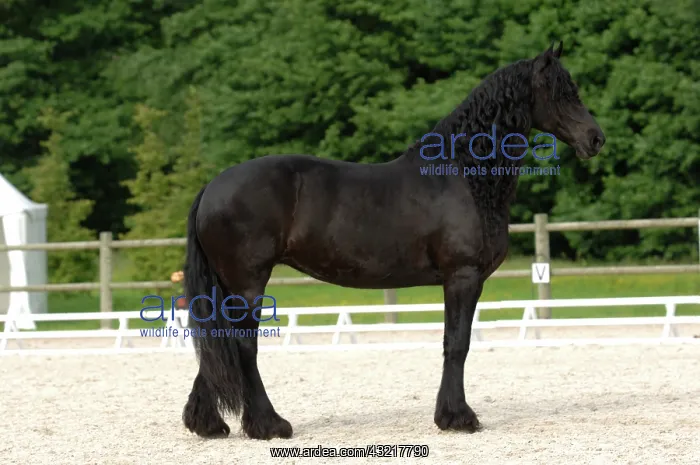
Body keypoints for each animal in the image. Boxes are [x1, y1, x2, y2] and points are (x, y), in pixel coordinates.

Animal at [181, 41, 605, 440]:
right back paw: (269, 424)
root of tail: (212, 187)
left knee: (219, 349)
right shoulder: (463, 276)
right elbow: (457, 344)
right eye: (561, 92)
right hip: (248, 285)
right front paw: (457, 417)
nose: (596, 139)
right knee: (242, 347)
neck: (463, 174)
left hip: (228, 287)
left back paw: (209, 423)